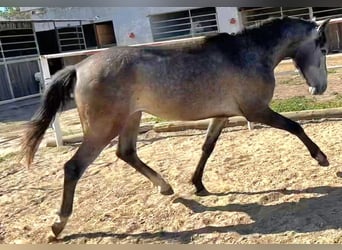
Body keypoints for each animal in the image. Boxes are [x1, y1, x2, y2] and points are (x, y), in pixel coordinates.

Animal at [20, 16, 330, 236]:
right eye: (323, 48)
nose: (320, 88)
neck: (248, 54)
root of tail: (78, 68)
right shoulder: (256, 111)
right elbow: (295, 127)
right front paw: (321, 157)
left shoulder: (221, 115)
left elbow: (207, 147)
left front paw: (198, 185)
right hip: (103, 128)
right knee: (74, 167)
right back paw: (58, 225)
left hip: (131, 118)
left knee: (126, 152)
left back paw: (166, 187)